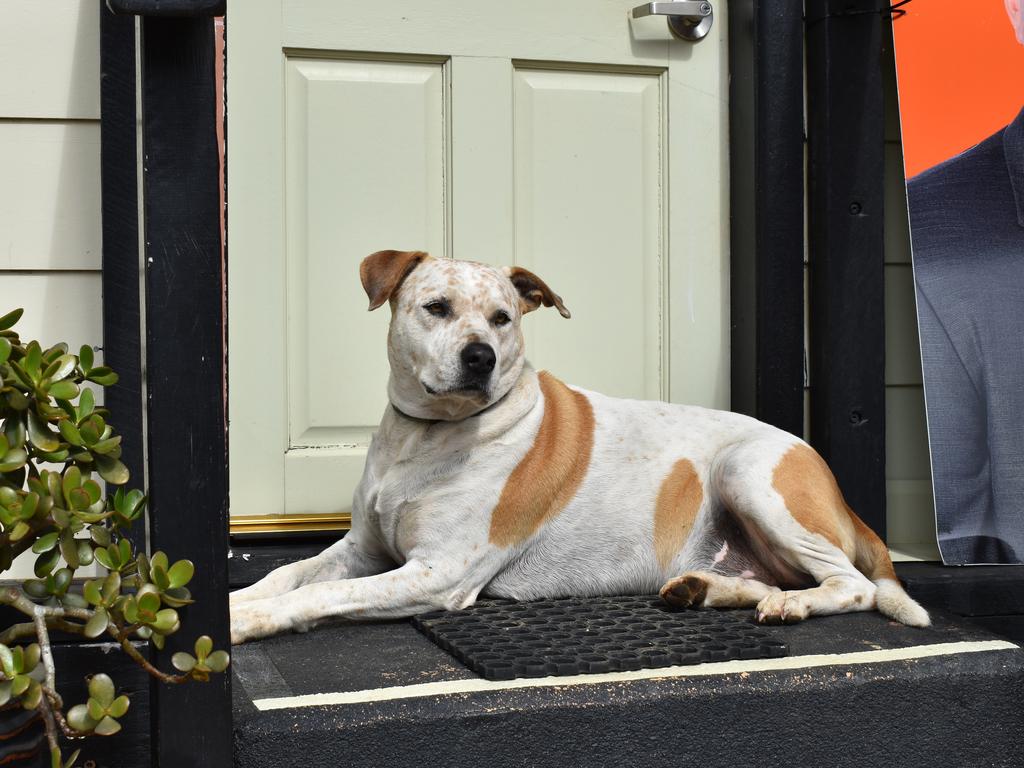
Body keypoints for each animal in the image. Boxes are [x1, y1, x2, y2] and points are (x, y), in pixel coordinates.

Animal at [228, 250, 933, 643]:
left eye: (503, 318)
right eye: (436, 307)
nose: (480, 357)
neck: (424, 436)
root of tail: (831, 480)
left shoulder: (438, 573)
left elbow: (315, 596)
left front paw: (247, 624)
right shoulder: (361, 549)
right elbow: (285, 574)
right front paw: (233, 602)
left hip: (748, 472)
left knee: (852, 585)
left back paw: (792, 603)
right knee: (768, 578)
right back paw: (705, 590)